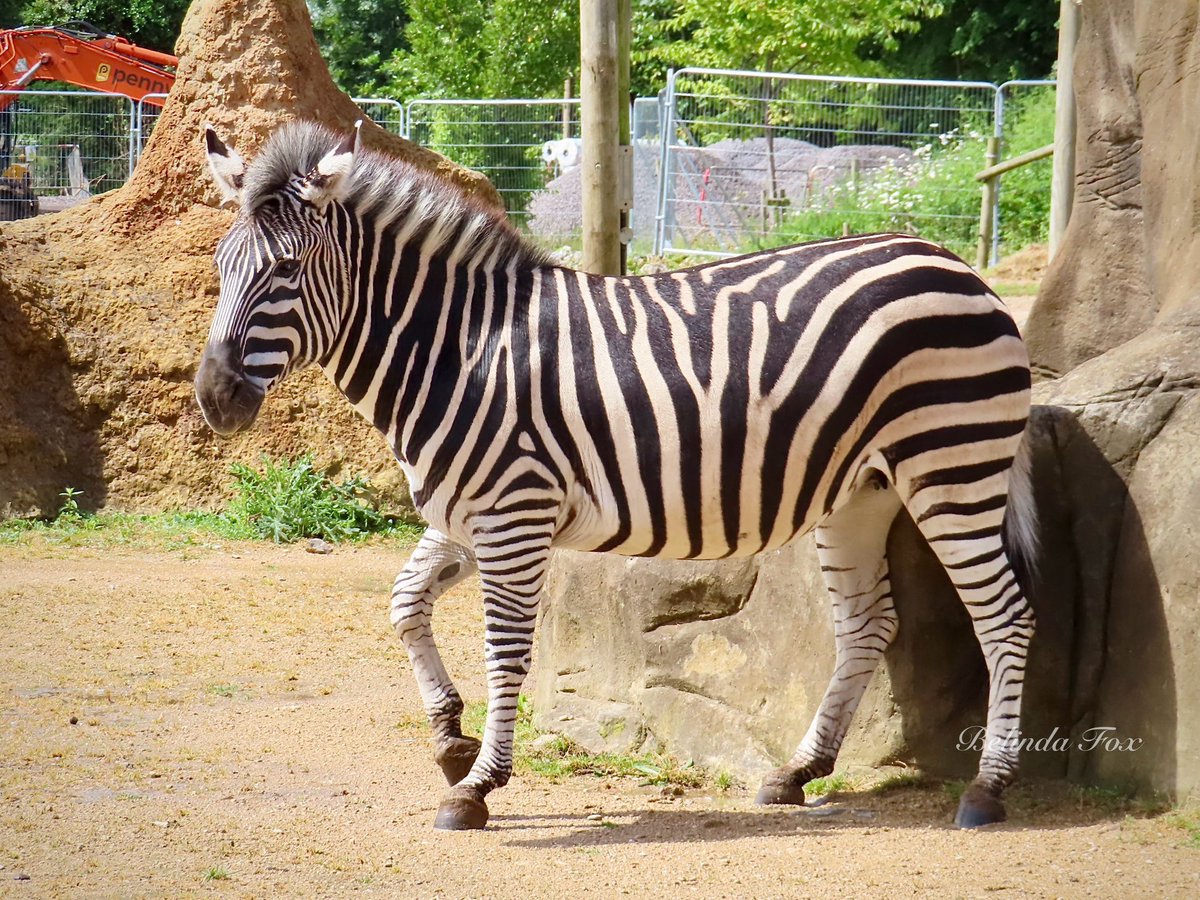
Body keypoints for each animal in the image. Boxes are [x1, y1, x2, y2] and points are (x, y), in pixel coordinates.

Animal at [196, 120, 1037, 832]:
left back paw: (988, 788)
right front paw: (449, 739)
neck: (460, 352)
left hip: (951, 468)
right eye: (219, 267)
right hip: (861, 492)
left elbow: (506, 651)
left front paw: (479, 785)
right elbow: (405, 605)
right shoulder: (464, 515)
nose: (213, 398)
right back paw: (799, 772)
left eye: (287, 270)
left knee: (1004, 616)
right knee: (868, 624)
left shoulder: (513, 516)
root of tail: (952, 262)